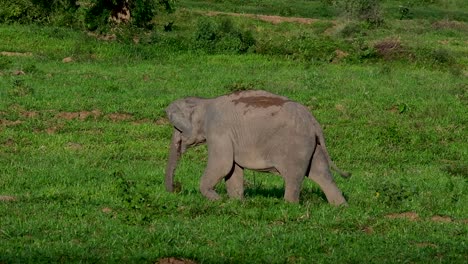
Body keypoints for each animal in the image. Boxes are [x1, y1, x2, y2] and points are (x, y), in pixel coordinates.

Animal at [165, 90, 352, 204]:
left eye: (178, 129)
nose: (175, 191)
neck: (204, 102)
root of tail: (314, 122)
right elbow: (233, 170)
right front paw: (236, 202)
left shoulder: (218, 131)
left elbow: (223, 164)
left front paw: (217, 199)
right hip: (313, 146)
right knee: (321, 173)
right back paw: (340, 207)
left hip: (295, 146)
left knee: (294, 177)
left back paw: (289, 206)